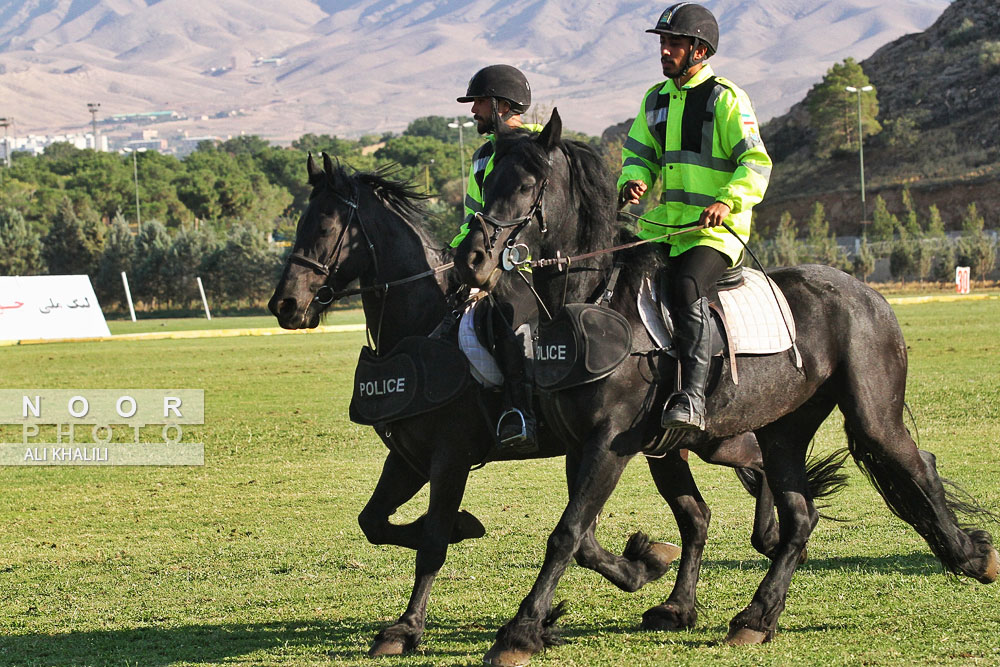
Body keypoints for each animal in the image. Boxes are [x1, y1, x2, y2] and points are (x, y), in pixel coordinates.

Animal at [456, 111, 1000, 667]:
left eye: (526, 185)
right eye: (485, 182)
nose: (471, 259)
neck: (595, 302)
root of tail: (866, 292)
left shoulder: (610, 444)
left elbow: (567, 533)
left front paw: (520, 632)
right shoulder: (587, 445)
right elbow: (591, 534)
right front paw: (645, 578)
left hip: (871, 416)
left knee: (916, 465)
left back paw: (974, 556)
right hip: (780, 430)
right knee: (798, 515)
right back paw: (754, 616)